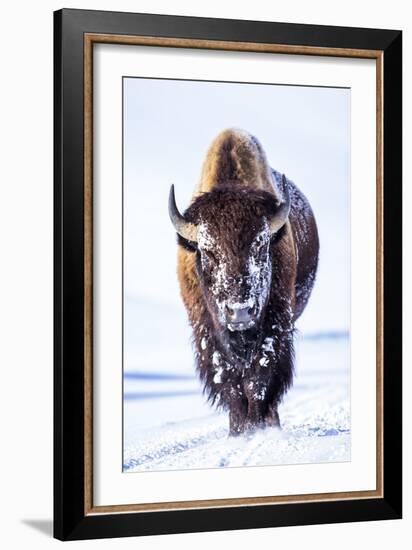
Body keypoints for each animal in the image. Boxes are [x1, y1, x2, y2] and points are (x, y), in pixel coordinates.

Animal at [167, 128, 318, 436]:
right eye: (208, 251)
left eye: (261, 246)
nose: (239, 312)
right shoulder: (207, 332)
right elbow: (230, 382)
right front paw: (238, 431)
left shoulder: (275, 326)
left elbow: (258, 378)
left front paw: (257, 428)